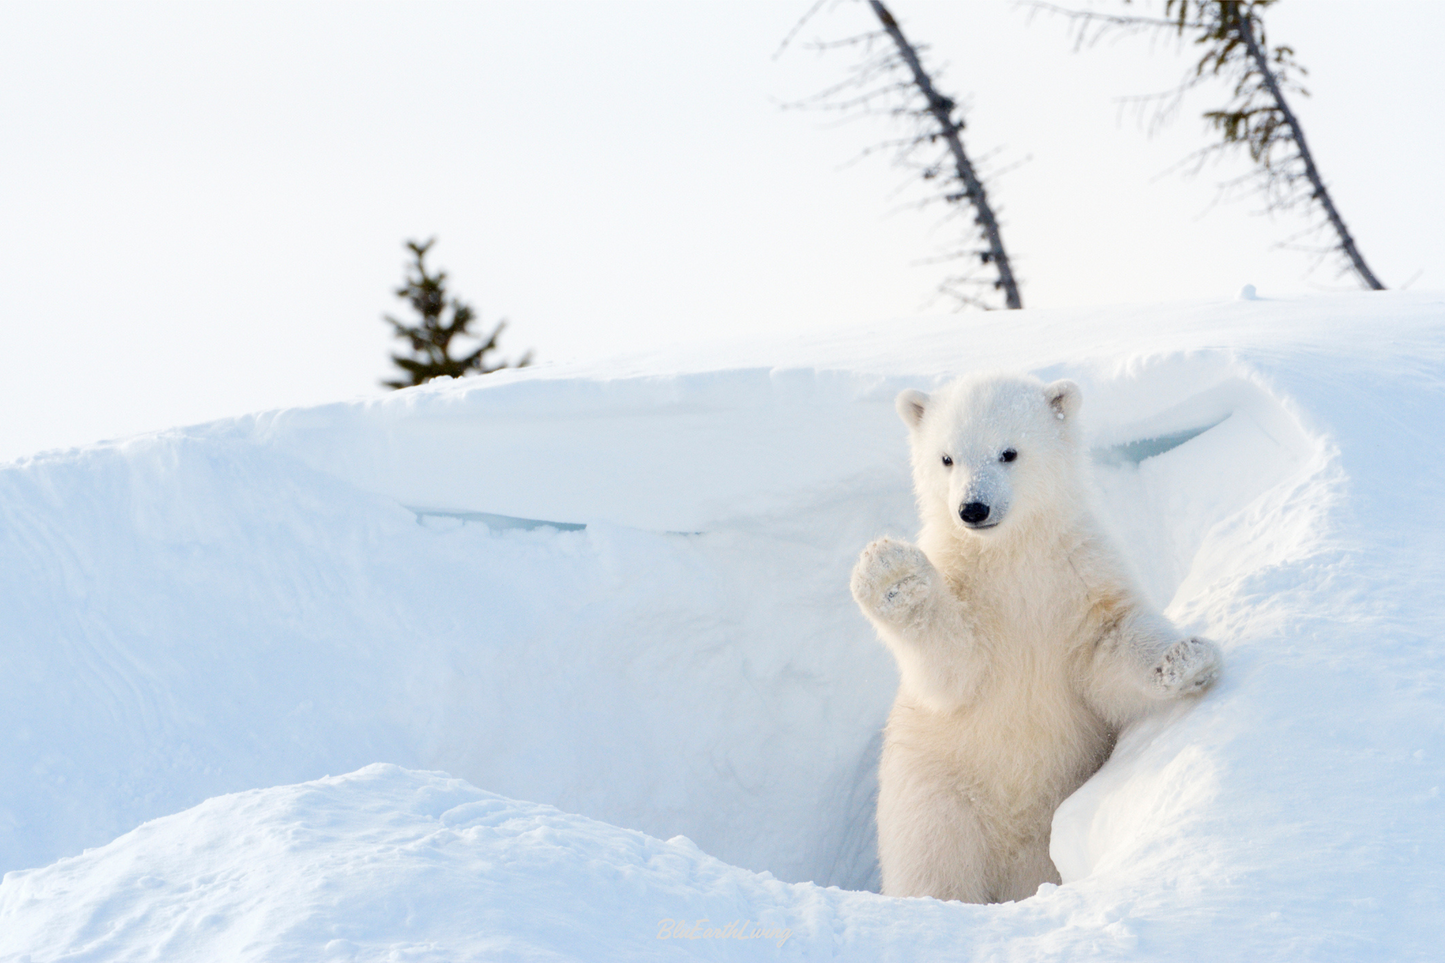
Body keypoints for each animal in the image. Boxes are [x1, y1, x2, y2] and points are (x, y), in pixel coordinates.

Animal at [849, 368, 1225, 902]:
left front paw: (1186, 659)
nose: (973, 508)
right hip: (936, 798)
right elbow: (953, 669)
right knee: (935, 868)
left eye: (1009, 452)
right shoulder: (968, 591)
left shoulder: (1079, 576)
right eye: (946, 457)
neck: (1011, 555)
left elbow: (1108, 647)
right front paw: (892, 575)